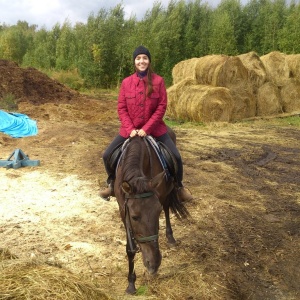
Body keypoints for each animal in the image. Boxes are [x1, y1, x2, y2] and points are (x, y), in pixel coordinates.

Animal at [113, 131, 189, 292]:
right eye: (134, 217)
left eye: (157, 213)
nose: (153, 264)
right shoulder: (123, 209)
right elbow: (130, 248)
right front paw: (131, 284)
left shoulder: (159, 197)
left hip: (167, 192)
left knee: (167, 208)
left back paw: (170, 238)